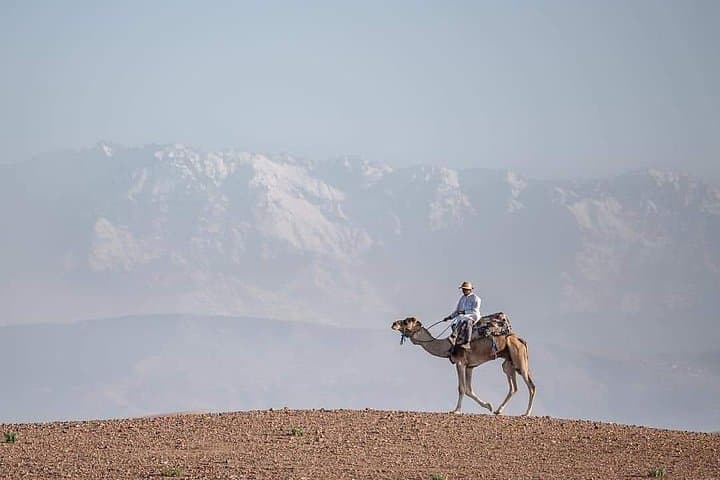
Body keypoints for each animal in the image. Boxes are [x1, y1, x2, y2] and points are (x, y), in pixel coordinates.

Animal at [391, 316, 536, 415]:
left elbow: (461, 388)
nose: (394, 324)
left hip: (519, 359)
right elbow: (469, 389)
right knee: (513, 387)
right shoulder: (470, 366)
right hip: (508, 363)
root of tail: (521, 339)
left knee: (531, 385)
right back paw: (498, 410)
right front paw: (488, 406)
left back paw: (526, 413)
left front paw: (456, 410)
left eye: (406, 321)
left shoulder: (460, 363)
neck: (448, 346)